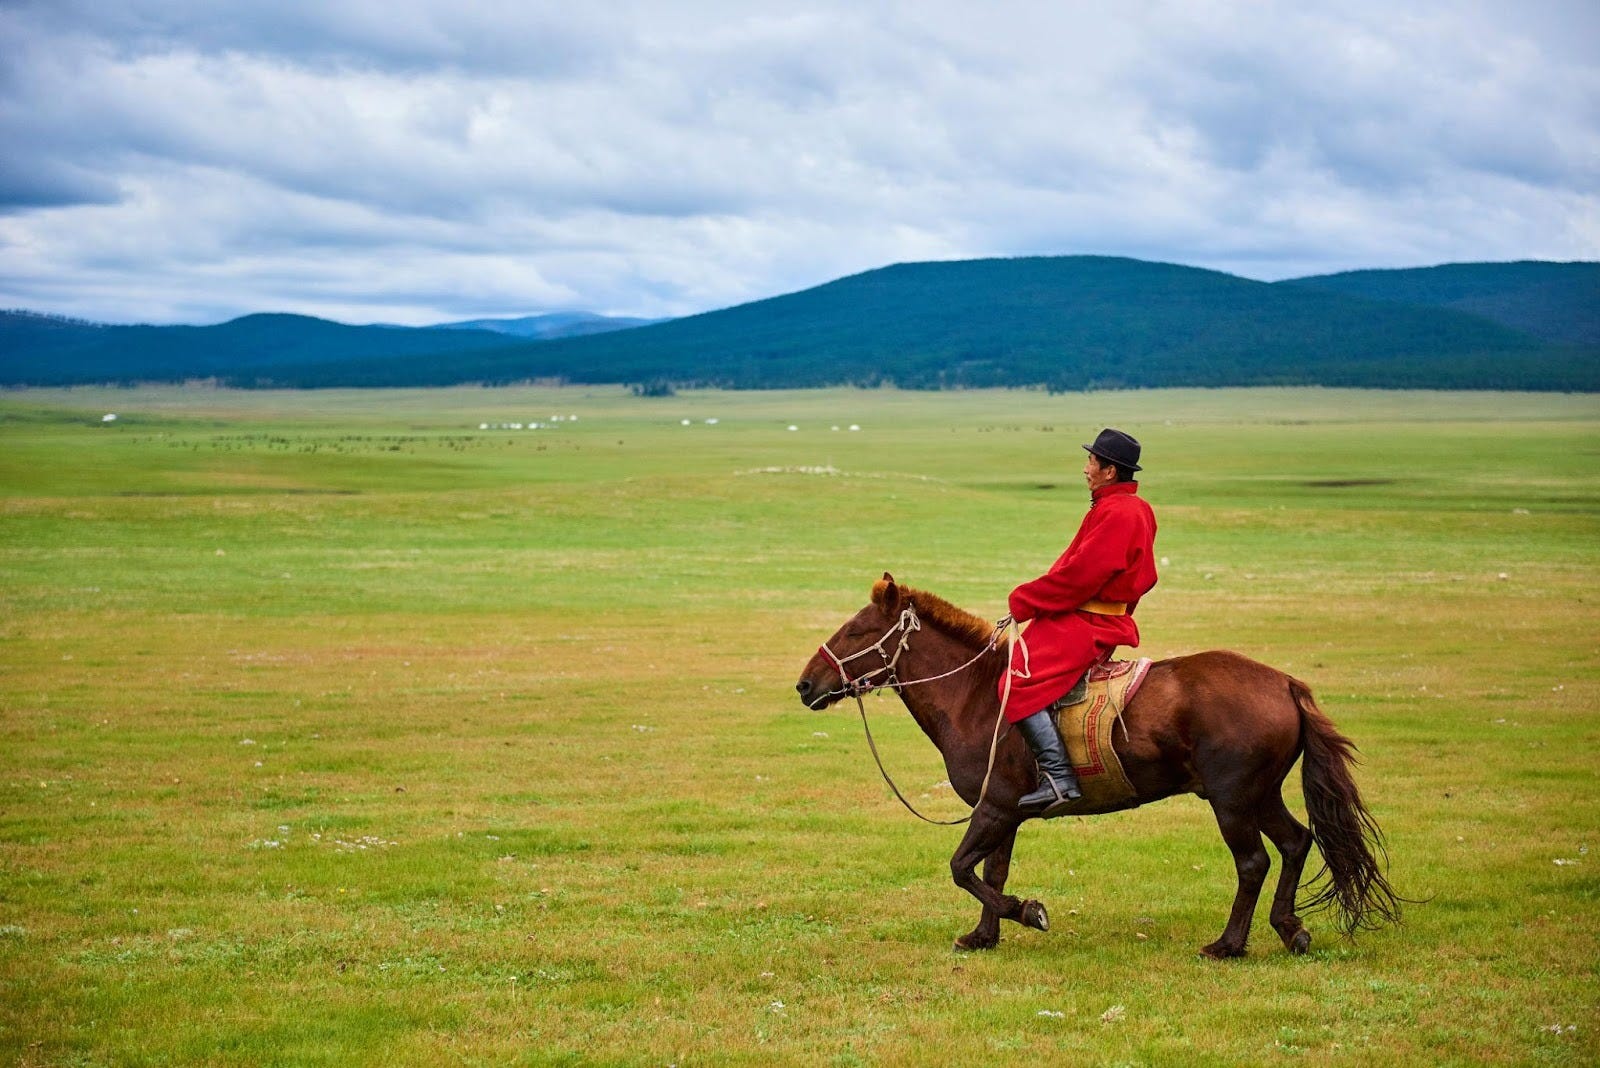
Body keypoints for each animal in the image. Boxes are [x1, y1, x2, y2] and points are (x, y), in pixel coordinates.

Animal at [794, 574, 1403, 958]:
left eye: (857, 631)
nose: (804, 685)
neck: (975, 696)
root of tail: (1284, 683)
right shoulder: (1004, 813)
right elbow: (991, 871)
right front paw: (983, 936)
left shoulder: (994, 808)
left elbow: (963, 868)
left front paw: (1027, 912)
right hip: (1261, 794)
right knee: (1298, 842)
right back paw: (1289, 929)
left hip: (1232, 800)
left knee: (1253, 862)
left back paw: (1229, 945)